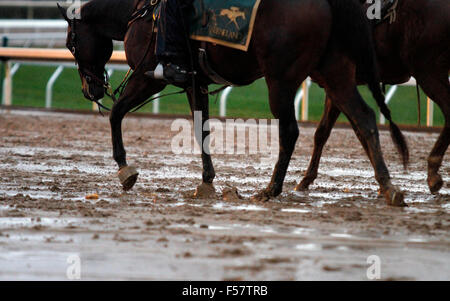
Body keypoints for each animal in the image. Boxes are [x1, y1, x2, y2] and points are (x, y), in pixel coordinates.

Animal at [59, 0, 412, 205]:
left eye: (70, 43)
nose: (90, 89)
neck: (144, 13)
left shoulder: (151, 76)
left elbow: (116, 114)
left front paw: (125, 169)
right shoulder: (196, 82)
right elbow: (201, 129)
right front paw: (207, 181)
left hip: (280, 80)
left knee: (290, 131)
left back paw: (271, 189)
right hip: (333, 71)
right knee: (364, 117)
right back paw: (389, 187)